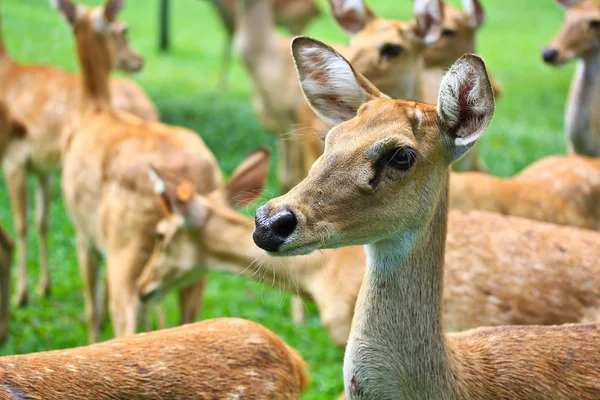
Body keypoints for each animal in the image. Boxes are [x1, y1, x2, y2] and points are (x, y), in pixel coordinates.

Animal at [0, 0, 159, 308]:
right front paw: (44, 287)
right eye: (123, 30)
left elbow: (21, 223)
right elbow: (41, 222)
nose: (139, 60)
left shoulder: (13, 157)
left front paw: (21, 295)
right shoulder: (43, 169)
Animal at [54, 0, 220, 344]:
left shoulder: (82, 231)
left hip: (126, 249)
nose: (138, 60)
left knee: (124, 319)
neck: (94, 111)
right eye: (124, 31)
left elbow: (93, 309)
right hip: (194, 262)